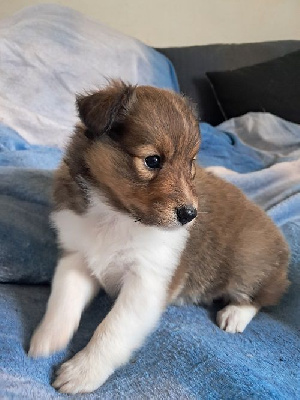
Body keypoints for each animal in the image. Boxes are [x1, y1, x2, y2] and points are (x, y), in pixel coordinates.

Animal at [29, 80, 290, 394]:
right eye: (153, 160)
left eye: (191, 162)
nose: (190, 214)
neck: (116, 215)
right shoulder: (78, 256)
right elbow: (63, 299)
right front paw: (46, 338)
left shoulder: (148, 282)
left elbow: (111, 329)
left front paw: (82, 371)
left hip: (247, 263)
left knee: (263, 295)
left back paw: (234, 315)